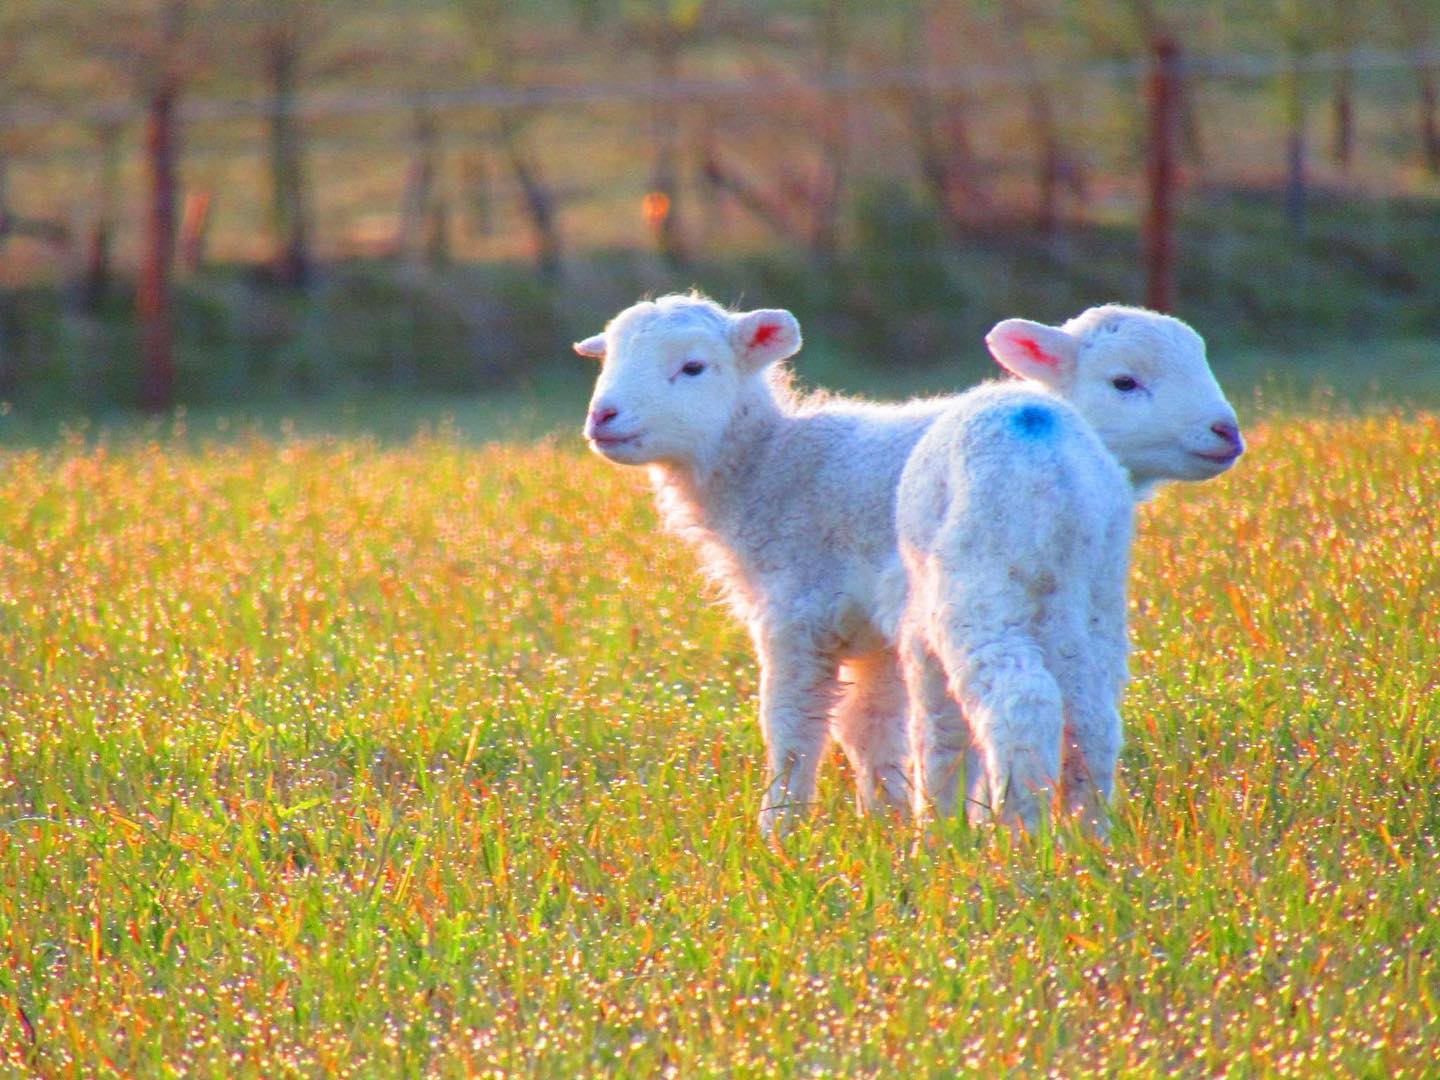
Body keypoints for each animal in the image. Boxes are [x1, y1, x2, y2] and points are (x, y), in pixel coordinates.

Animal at [570, 293, 956, 835]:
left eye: (693, 367)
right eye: (606, 360)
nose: (603, 415)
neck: (773, 467)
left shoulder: (798, 616)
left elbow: (791, 726)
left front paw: (778, 831)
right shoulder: (873, 638)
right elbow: (871, 727)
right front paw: (885, 821)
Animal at [892, 305, 1244, 835]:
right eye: (1124, 382)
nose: (1227, 432)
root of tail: (1058, 466)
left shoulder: (918, 624)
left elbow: (938, 729)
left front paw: (939, 833)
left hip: (981, 584)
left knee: (1022, 704)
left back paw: (1020, 833)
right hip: (1090, 593)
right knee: (1090, 716)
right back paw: (1088, 832)